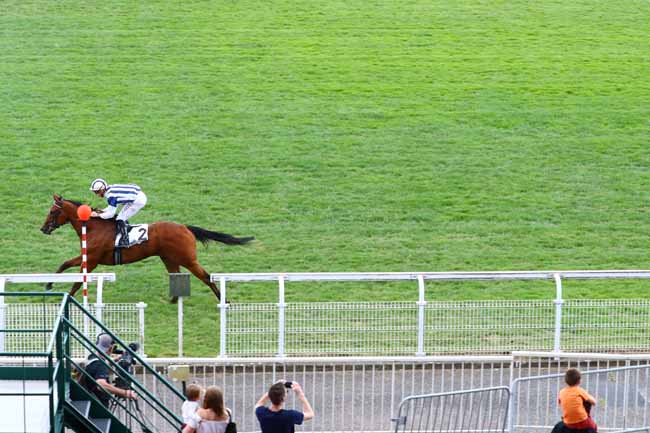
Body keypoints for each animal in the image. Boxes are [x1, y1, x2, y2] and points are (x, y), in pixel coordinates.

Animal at [40, 194, 253, 301]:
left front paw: (67, 298)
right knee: (176, 276)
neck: (93, 227)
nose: (43, 229)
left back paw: (223, 299)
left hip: (188, 259)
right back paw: (173, 300)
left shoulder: (92, 260)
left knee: (207, 277)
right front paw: (49, 284)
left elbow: (77, 281)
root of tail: (185, 227)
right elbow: (64, 264)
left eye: (52, 212)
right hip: (169, 259)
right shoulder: (87, 256)